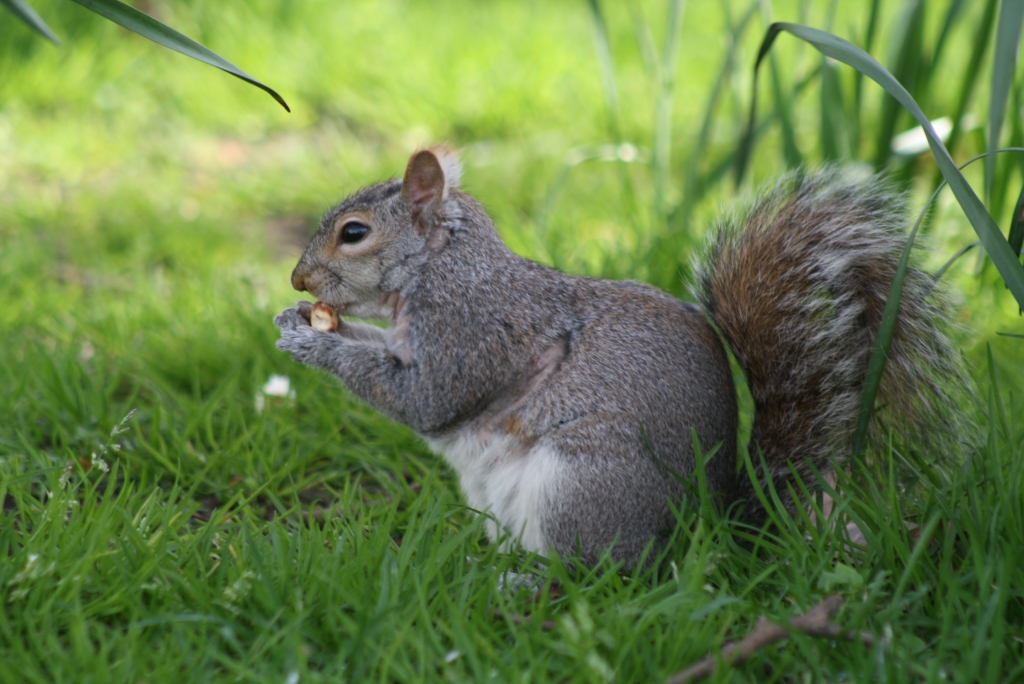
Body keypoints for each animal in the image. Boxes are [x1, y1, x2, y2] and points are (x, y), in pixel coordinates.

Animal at [275, 146, 963, 567]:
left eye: (354, 233)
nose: (297, 280)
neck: (440, 267)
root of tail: (712, 518)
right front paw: (295, 323)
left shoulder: (469, 332)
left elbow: (421, 400)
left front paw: (314, 342)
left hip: (586, 484)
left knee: (601, 571)